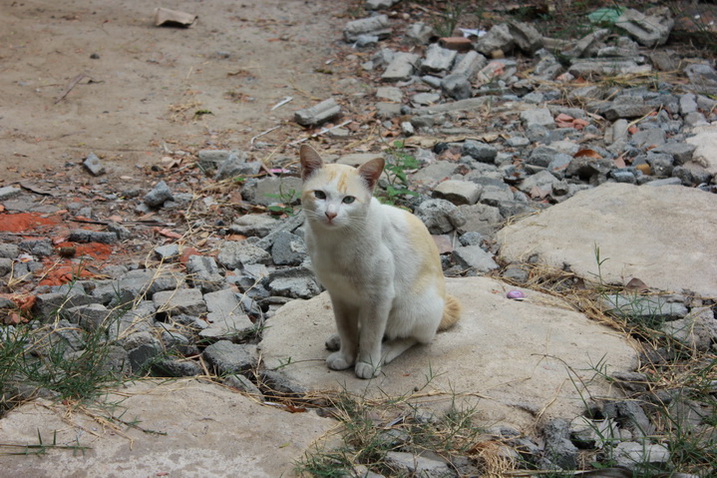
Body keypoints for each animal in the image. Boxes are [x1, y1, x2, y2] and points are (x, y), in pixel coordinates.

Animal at [298, 144, 458, 380]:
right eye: (320, 195)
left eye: (348, 200)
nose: (330, 214)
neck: (334, 242)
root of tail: (442, 311)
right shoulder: (339, 296)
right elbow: (347, 331)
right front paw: (346, 356)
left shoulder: (378, 297)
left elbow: (371, 337)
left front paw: (367, 363)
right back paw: (338, 340)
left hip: (407, 310)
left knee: (409, 337)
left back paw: (386, 351)